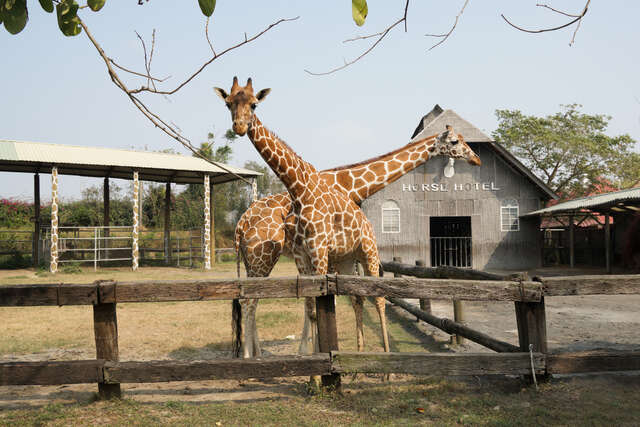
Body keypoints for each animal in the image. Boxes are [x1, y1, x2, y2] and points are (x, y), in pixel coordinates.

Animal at [214, 77, 390, 358]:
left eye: (254, 104)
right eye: (228, 103)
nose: (239, 126)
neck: (299, 188)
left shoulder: (319, 250)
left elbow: (320, 304)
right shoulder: (305, 253)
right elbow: (312, 306)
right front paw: (316, 358)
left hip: (368, 251)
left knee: (379, 298)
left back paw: (385, 358)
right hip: (342, 259)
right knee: (358, 297)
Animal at [231, 130, 480, 358]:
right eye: (455, 141)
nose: (475, 158)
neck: (351, 185)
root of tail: (240, 224)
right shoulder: (329, 252)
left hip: (253, 260)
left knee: (250, 300)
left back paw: (257, 354)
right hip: (263, 256)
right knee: (249, 302)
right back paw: (250, 357)